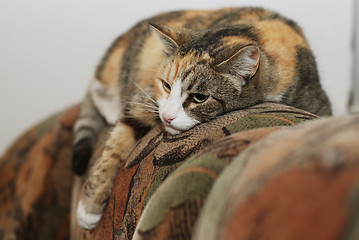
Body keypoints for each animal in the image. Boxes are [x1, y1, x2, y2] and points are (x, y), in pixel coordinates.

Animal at [74, 7, 334, 229]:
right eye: (166, 85)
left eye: (199, 97)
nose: (167, 117)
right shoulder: (147, 95)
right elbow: (118, 141)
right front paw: (88, 209)